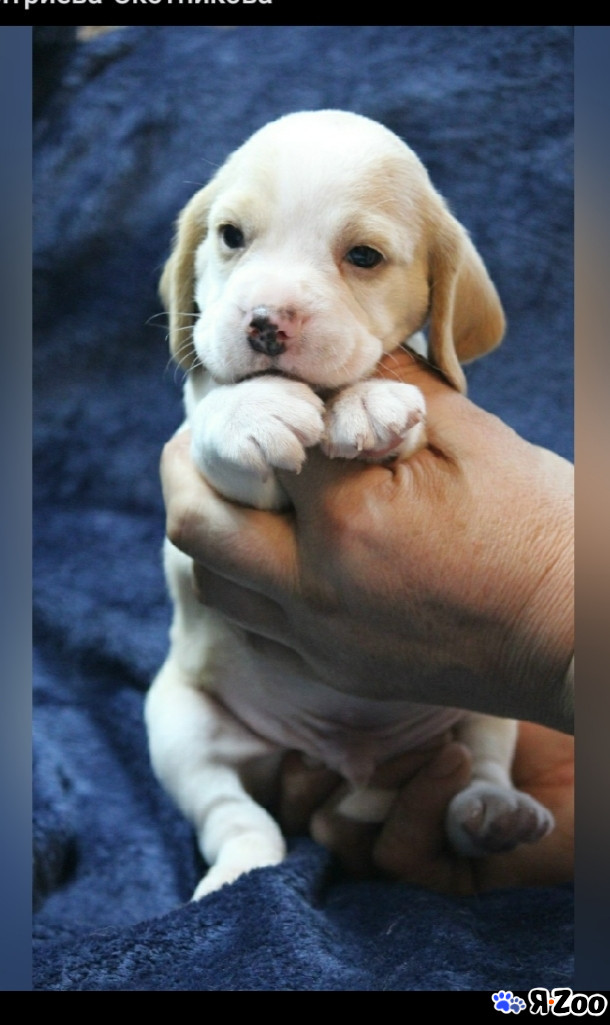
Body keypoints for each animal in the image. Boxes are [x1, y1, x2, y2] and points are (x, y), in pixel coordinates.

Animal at [146, 110, 554, 899]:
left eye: (363, 256)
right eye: (230, 236)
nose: (265, 322)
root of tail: (349, 763)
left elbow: (401, 406)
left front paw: (370, 402)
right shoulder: (216, 456)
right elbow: (219, 417)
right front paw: (254, 408)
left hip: (488, 708)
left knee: (480, 766)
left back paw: (492, 813)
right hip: (179, 721)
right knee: (232, 812)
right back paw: (241, 872)